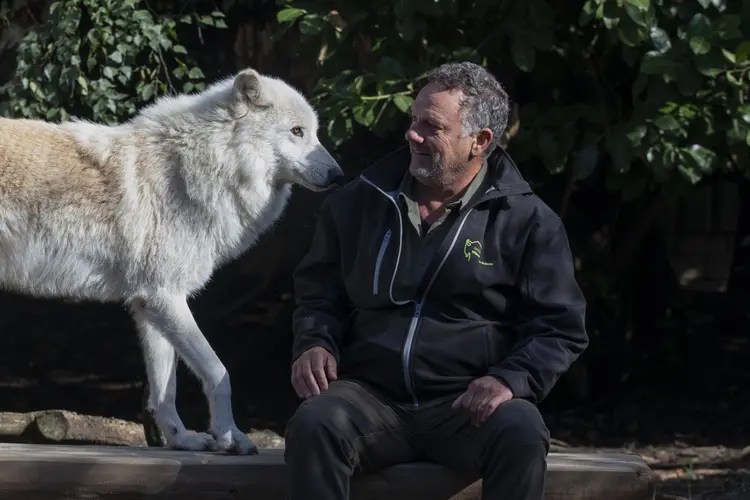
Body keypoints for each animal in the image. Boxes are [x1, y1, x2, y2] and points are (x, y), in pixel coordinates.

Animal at [0, 65, 344, 454]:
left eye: (314, 133)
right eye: (297, 132)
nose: (339, 175)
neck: (205, 167)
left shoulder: (150, 304)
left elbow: (165, 391)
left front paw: (182, 440)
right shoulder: (167, 296)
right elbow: (218, 372)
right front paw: (230, 436)